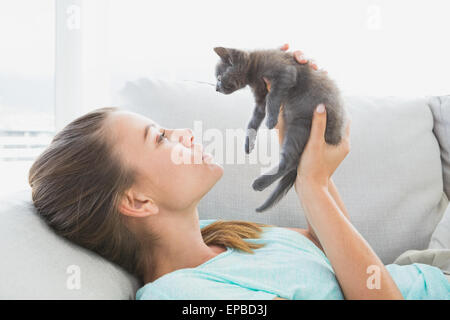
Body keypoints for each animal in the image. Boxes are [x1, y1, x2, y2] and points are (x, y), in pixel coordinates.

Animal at [214, 45, 348, 212]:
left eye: (219, 78)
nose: (216, 88)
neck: (254, 71)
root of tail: (335, 137)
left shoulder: (286, 73)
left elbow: (273, 96)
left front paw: (271, 121)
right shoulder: (260, 98)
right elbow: (253, 121)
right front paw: (248, 143)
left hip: (300, 124)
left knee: (290, 160)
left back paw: (259, 183)